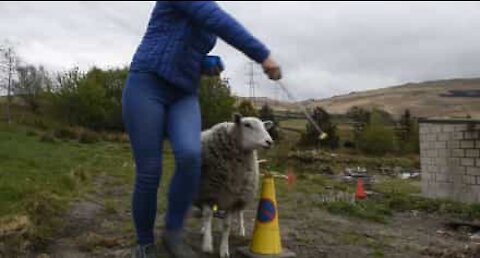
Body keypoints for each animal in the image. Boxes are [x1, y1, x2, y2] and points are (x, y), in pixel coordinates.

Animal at [196, 113, 274, 258]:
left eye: (264, 126)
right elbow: (207, 215)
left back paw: (241, 230)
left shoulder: (233, 198)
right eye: (247, 125)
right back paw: (204, 229)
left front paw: (224, 250)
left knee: (240, 213)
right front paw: (207, 244)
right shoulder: (207, 191)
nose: (269, 142)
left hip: (243, 193)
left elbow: (227, 225)